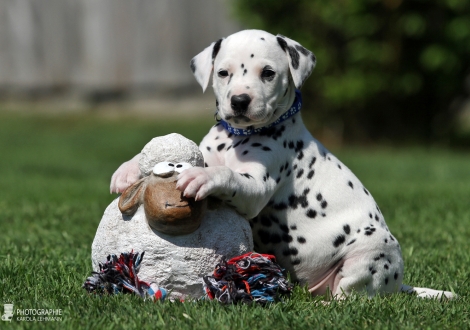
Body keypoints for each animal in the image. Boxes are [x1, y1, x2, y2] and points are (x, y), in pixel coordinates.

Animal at [111, 29, 456, 300]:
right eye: (223, 73)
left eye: (268, 73)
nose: (239, 101)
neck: (237, 138)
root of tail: (397, 287)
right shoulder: (207, 152)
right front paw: (127, 169)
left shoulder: (254, 185)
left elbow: (227, 175)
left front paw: (201, 178)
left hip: (375, 248)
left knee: (352, 296)